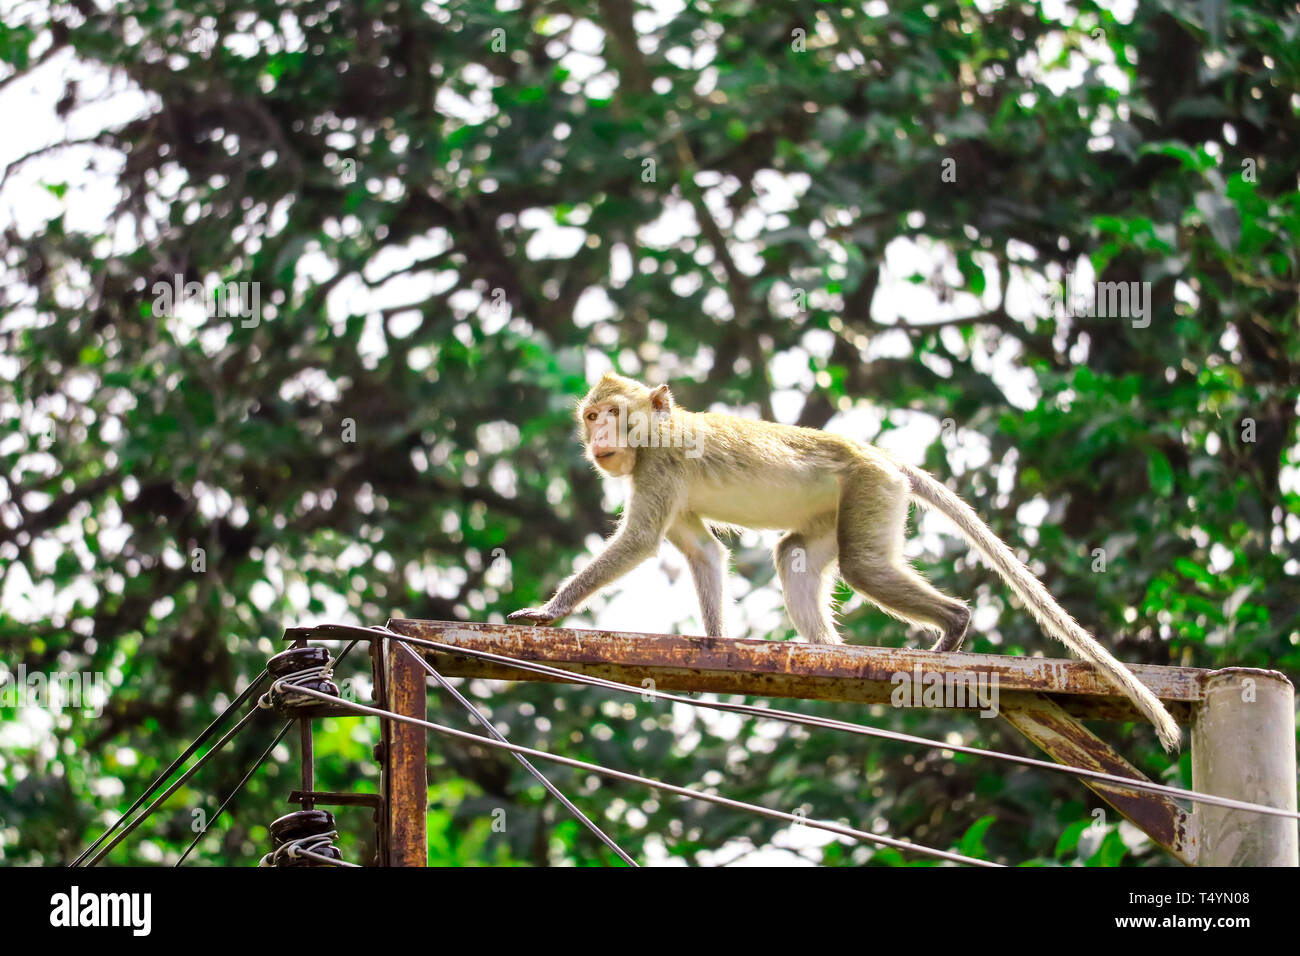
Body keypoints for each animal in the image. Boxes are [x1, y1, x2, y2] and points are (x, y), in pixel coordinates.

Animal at [512, 369, 1185, 749]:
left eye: (611, 415)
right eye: (591, 416)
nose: (598, 438)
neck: (655, 433)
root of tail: (886, 457)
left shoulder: (661, 466)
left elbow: (639, 543)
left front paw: (549, 612)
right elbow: (703, 550)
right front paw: (715, 642)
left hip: (869, 491)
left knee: (863, 565)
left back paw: (954, 625)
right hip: (839, 509)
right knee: (795, 553)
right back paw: (827, 651)